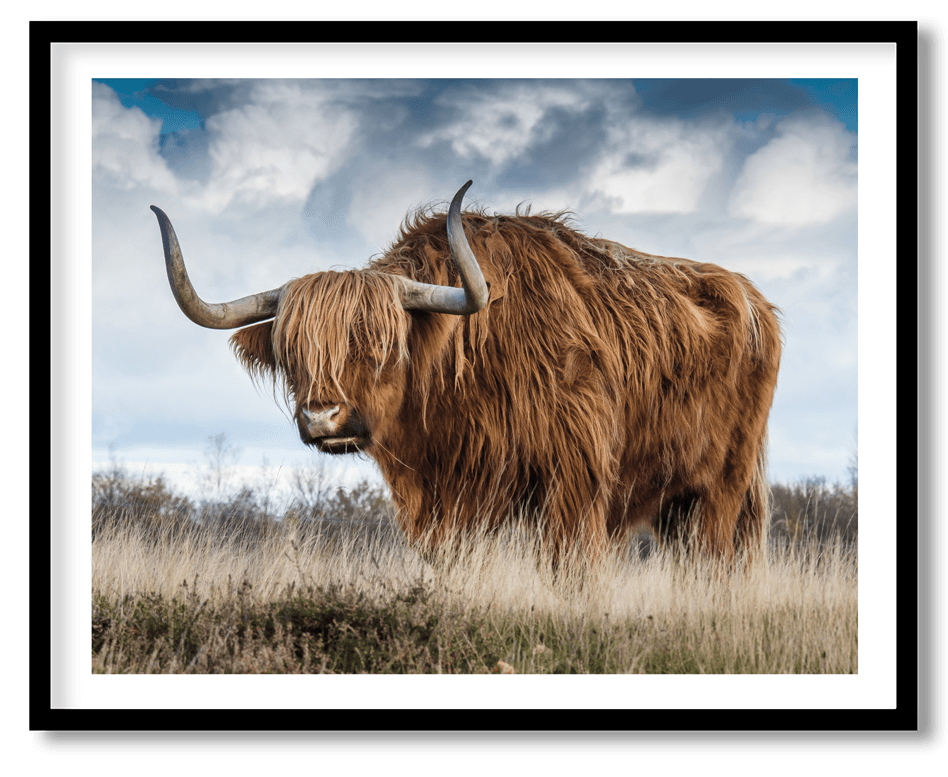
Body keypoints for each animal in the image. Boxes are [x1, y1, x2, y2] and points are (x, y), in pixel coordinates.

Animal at [151, 181, 781, 570]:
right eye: (292, 352)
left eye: (381, 345)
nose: (321, 416)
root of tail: (754, 299)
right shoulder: (445, 503)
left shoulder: (574, 484)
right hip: (678, 501)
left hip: (722, 488)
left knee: (715, 561)